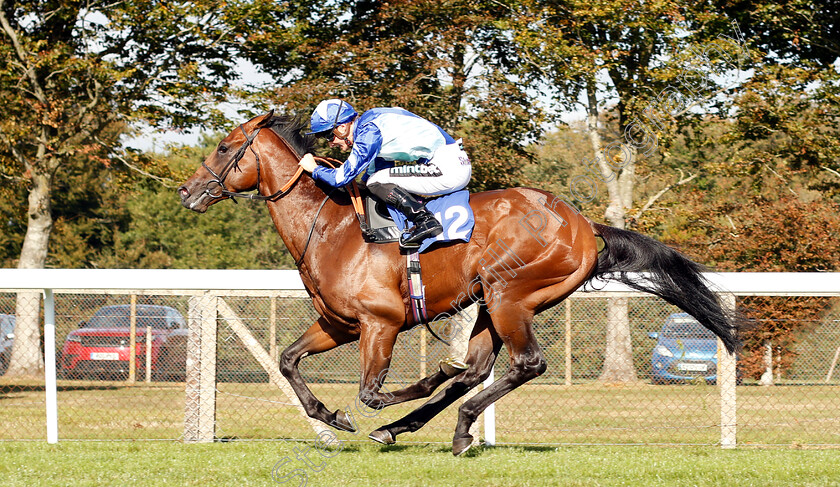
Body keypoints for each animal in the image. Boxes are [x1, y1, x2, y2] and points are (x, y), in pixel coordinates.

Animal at [176, 109, 736, 454]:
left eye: (224, 147)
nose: (187, 192)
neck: (330, 226)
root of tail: (582, 224)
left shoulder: (381, 323)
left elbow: (371, 392)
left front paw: (399, 394)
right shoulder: (339, 324)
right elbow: (289, 360)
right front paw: (330, 417)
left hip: (510, 294)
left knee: (523, 365)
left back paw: (445, 421)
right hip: (491, 303)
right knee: (479, 371)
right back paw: (433, 427)